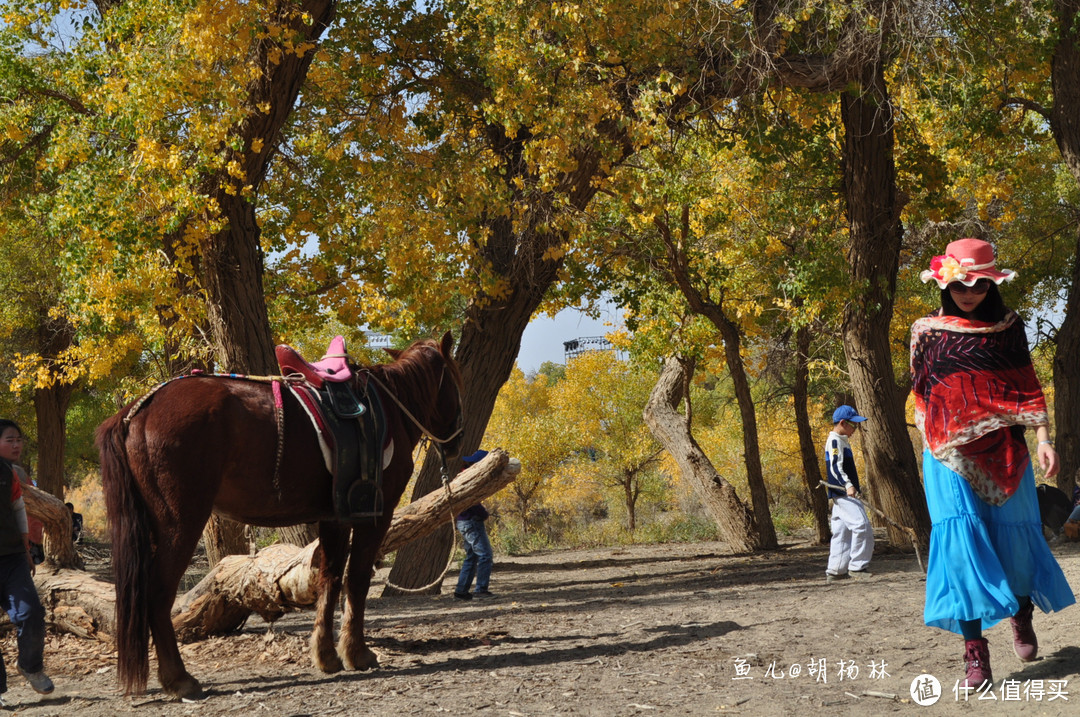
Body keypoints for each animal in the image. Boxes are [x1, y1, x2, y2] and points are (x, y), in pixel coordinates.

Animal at [95, 332, 462, 695]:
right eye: (456, 381)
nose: (457, 440)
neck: (390, 408)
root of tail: (136, 411)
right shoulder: (375, 514)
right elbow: (356, 579)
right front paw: (357, 653)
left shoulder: (334, 517)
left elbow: (329, 579)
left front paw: (326, 654)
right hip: (181, 523)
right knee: (158, 594)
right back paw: (178, 678)